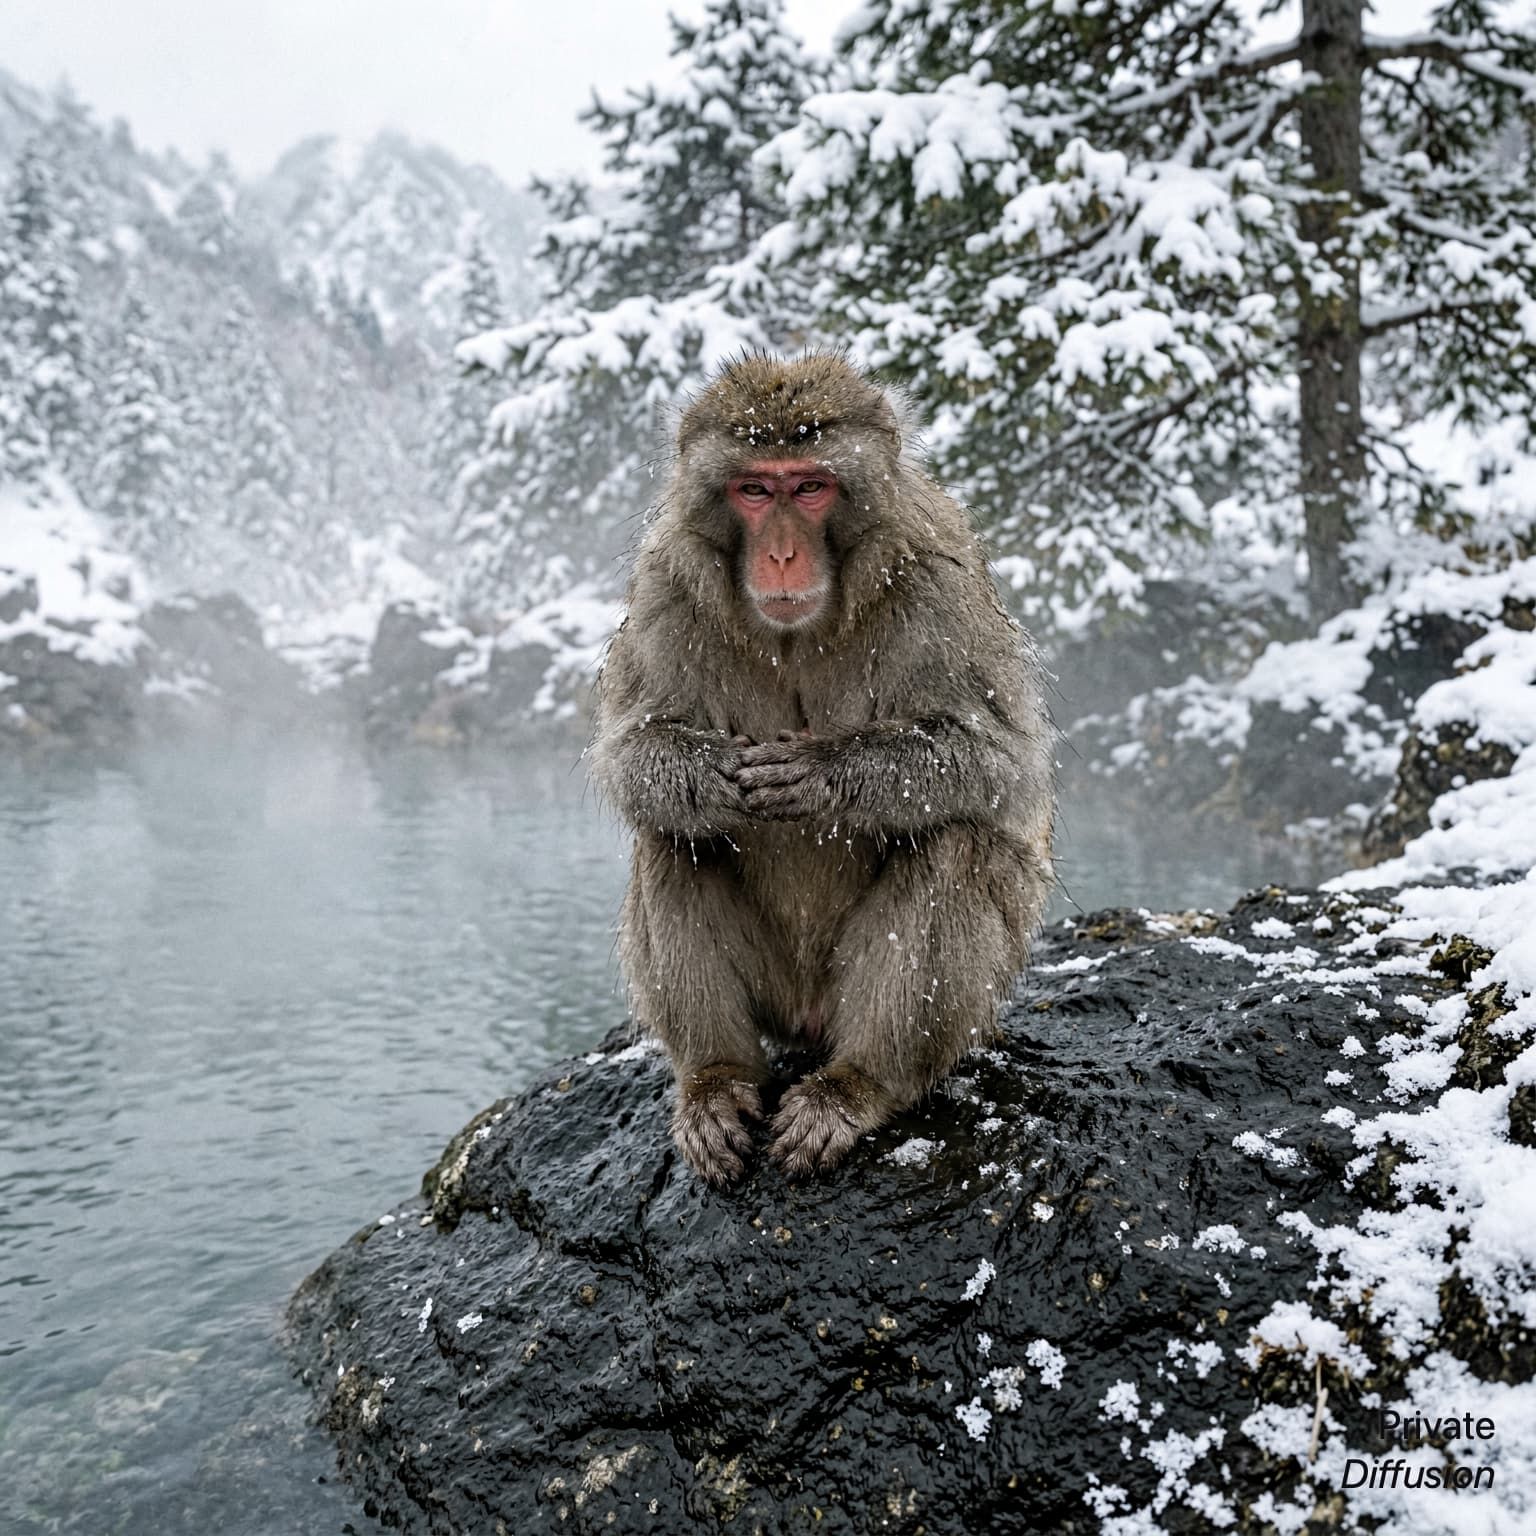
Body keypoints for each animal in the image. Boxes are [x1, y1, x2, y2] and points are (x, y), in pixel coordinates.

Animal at [586, 352, 1055, 1186]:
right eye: (753, 489)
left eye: (809, 487)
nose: (779, 555)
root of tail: (808, 1021)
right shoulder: (668, 583)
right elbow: (630, 751)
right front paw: (711, 777)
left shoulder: (938, 587)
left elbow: (1002, 761)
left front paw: (821, 773)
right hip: (776, 997)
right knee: (671, 837)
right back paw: (716, 1080)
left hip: (876, 998)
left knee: (954, 843)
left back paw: (859, 1085)